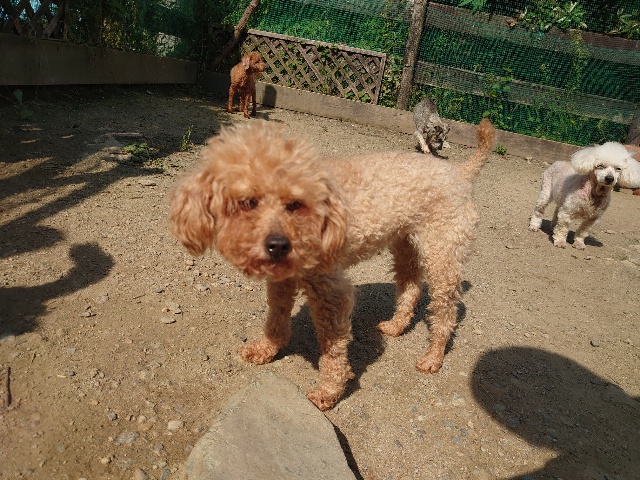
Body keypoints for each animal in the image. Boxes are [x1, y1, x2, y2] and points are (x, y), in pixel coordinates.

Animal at [169, 119, 496, 410]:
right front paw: (267, 348)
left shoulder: (331, 290)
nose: (278, 245)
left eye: (295, 204)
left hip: (443, 252)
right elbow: (276, 317)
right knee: (411, 285)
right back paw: (395, 326)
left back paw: (433, 357)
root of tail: (460, 172)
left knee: (446, 311)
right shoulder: (282, 280)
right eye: (247, 202)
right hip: (405, 244)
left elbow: (332, 346)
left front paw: (329, 391)